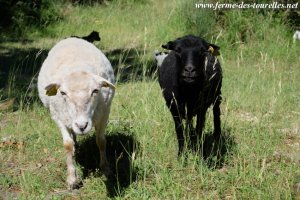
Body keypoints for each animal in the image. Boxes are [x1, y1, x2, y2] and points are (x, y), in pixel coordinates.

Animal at [38, 37, 115, 189]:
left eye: (95, 91)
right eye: (62, 93)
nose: (82, 126)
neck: (77, 70)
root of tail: (71, 38)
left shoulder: (104, 113)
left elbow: (101, 141)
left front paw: (106, 169)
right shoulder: (58, 117)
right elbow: (67, 145)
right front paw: (72, 179)